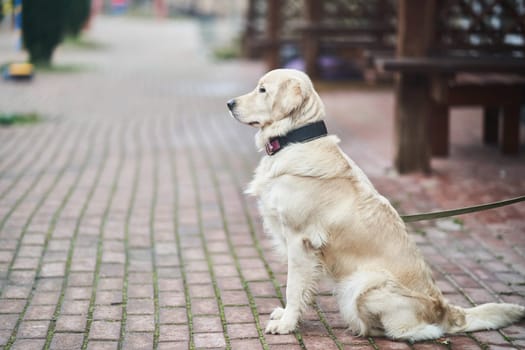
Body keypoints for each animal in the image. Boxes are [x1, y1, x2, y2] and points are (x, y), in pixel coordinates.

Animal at [226, 69, 524, 342]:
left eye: (262, 90)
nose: (229, 103)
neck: (295, 138)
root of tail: (445, 309)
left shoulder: (300, 241)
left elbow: (293, 286)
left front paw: (287, 324)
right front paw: (288, 314)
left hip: (363, 283)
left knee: (420, 331)